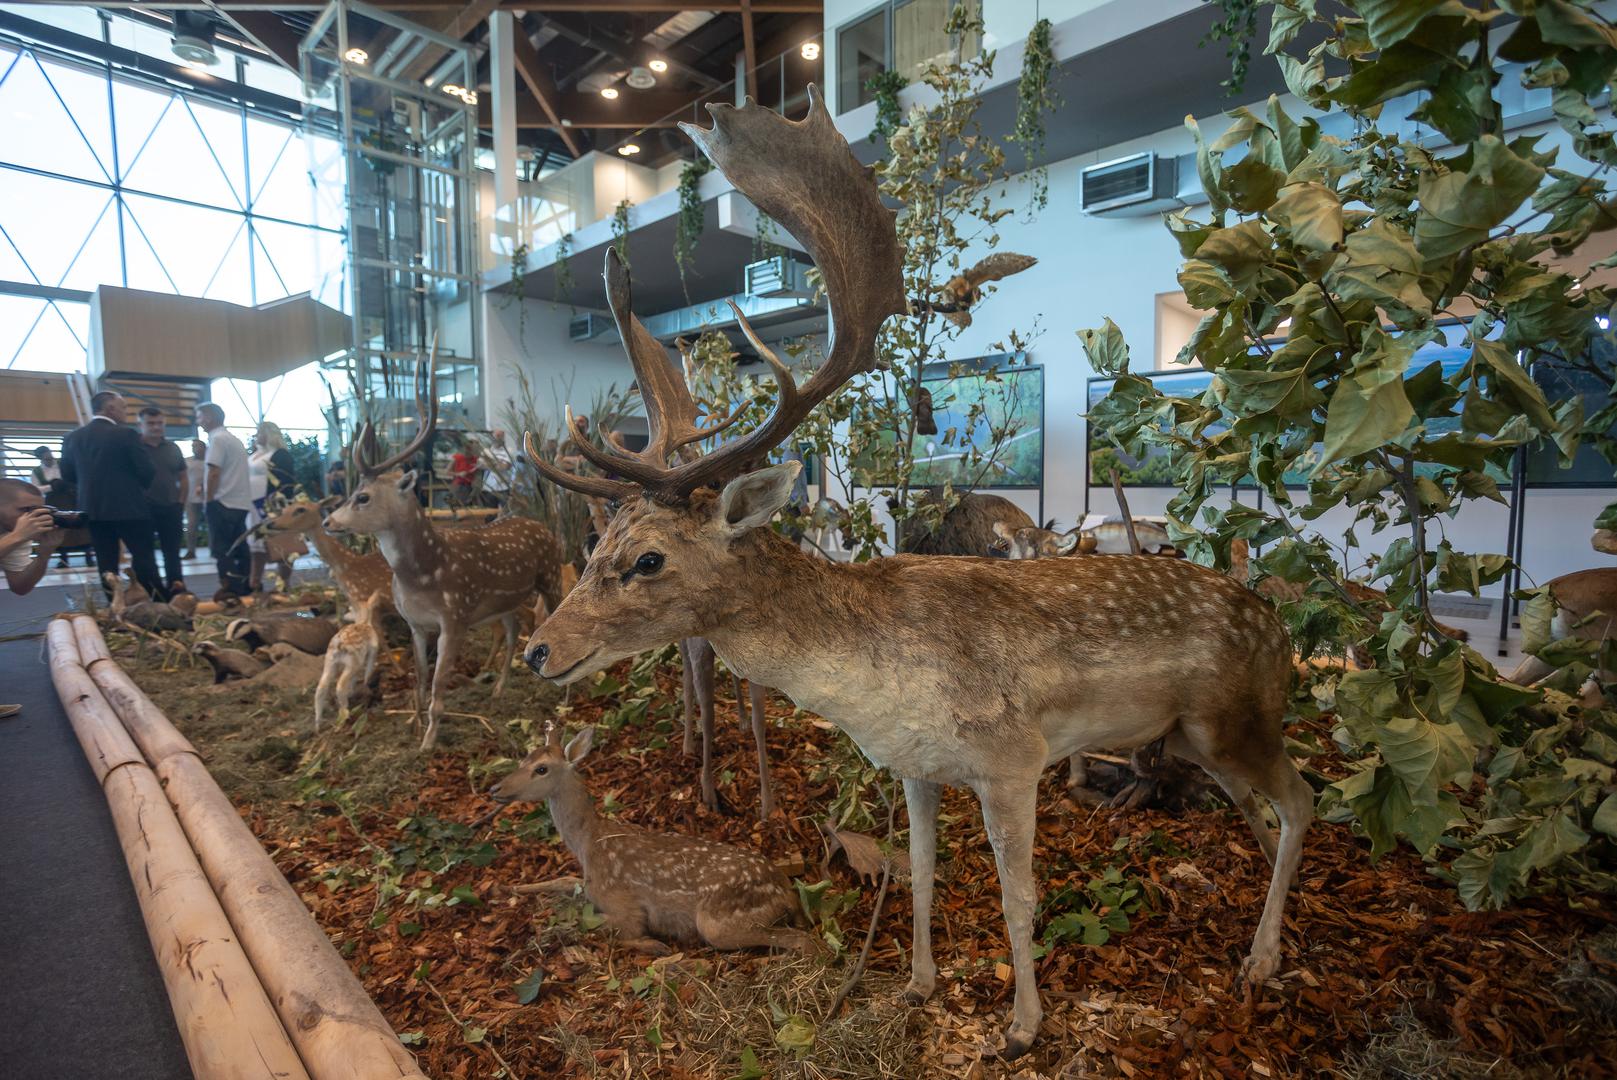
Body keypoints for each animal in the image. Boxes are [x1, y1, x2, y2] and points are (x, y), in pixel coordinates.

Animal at [318, 594, 388, 730]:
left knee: (321, 687)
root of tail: (339, 644)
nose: (344, 616)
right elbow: (368, 669)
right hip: (351, 662)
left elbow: (355, 677)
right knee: (340, 685)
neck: (364, 622)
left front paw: (352, 690)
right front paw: (365, 685)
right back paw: (344, 711)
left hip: (329, 662)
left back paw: (317, 724)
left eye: (349, 609)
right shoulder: (372, 652)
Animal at [325, 362, 565, 750]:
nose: (328, 521)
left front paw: (429, 739)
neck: (425, 572)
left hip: (552, 575)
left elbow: (439, 682)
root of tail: (542, 526)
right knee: (514, 630)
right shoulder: (415, 624)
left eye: (362, 496)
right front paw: (414, 725)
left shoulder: (455, 617)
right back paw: (499, 689)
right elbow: (421, 677)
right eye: (352, 491)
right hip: (505, 601)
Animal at [488, 721, 821, 957]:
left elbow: (611, 930)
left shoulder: (624, 905)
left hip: (718, 921)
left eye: (541, 769)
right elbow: (564, 881)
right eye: (523, 759)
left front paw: (656, 946)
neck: (588, 843)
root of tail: (785, 891)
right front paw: (509, 888)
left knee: (803, 941)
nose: (495, 789)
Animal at [523, 88, 1306, 1060]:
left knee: (1307, 803)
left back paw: (1263, 960)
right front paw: (916, 986)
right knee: (1263, 809)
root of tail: (1280, 629)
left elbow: (1016, 894)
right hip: (1198, 735)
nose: (537, 651)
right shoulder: (916, 767)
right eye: (598, 540)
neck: (876, 681)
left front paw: (1021, 1027)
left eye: (647, 558)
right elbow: (924, 874)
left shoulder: (1011, 759)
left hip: (1240, 718)